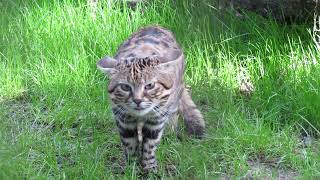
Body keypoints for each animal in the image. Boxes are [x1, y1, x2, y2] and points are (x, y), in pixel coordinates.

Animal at [96, 25, 205, 172]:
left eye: (150, 86)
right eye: (125, 87)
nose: (137, 100)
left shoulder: (156, 119)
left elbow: (150, 145)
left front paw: (149, 169)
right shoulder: (123, 118)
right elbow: (129, 144)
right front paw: (131, 167)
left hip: (175, 97)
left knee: (174, 115)